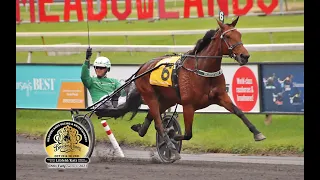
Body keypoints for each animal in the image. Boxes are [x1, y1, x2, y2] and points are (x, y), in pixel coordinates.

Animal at [99, 16, 264, 160]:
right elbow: (188, 133)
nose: (245, 56)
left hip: (167, 99)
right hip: (150, 96)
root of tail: (142, 67)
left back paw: (141, 129)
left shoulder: (221, 96)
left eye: (239, 34)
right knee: (159, 124)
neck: (202, 70)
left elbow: (239, 112)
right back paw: (170, 147)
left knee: (153, 117)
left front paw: (257, 133)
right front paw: (173, 136)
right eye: (228, 37)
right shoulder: (188, 105)